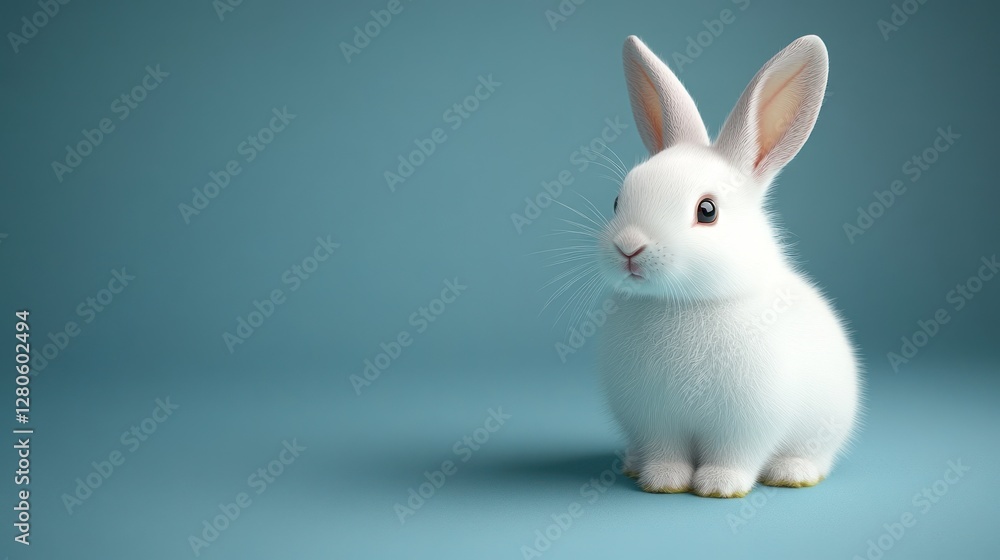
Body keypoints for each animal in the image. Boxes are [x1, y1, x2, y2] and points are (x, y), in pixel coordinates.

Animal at [596, 35, 861, 498]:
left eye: (707, 210)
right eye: (617, 201)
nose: (629, 247)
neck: (687, 304)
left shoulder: (746, 424)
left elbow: (734, 455)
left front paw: (720, 486)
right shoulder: (655, 420)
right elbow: (666, 451)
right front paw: (662, 481)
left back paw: (793, 473)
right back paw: (632, 465)